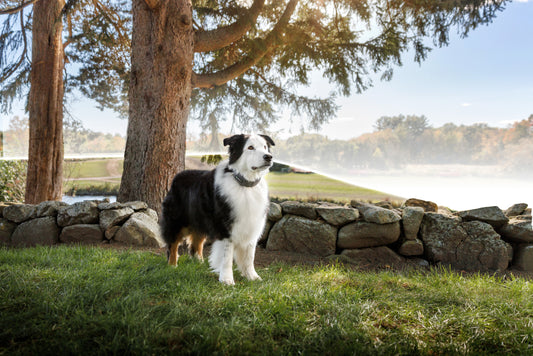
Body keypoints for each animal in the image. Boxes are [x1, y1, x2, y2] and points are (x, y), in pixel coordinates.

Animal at [158, 132, 274, 286]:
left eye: (265, 147)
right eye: (250, 147)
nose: (269, 157)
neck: (244, 184)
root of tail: (177, 176)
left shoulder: (251, 225)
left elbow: (249, 256)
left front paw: (252, 277)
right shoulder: (226, 228)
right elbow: (227, 257)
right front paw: (227, 280)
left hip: (200, 220)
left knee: (196, 243)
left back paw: (199, 263)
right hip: (177, 220)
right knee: (173, 243)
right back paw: (172, 265)